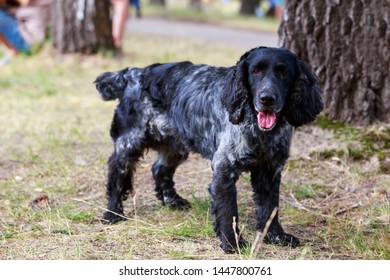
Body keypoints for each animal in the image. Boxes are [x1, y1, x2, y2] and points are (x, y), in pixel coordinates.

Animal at [95, 47, 322, 253]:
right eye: (255, 71)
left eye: (285, 73)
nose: (267, 98)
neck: (260, 131)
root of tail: (132, 73)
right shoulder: (224, 168)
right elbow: (229, 212)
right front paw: (233, 243)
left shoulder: (270, 170)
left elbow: (270, 208)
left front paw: (277, 236)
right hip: (130, 142)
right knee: (116, 171)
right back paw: (112, 213)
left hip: (175, 145)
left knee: (159, 168)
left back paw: (172, 201)